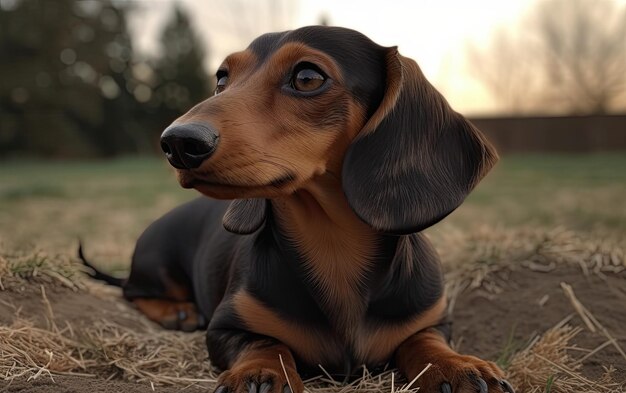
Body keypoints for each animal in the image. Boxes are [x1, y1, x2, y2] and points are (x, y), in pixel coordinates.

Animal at [81, 26, 512, 390]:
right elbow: (265, 343)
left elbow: (424, 342)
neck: (333, 248)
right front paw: (259, 373)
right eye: (222, 79)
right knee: (133, 290)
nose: (177, 143)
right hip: (157, 263)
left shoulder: (434, 321)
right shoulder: (225, 328)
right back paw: (178, 312)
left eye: (307, 78)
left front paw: (459, 366)